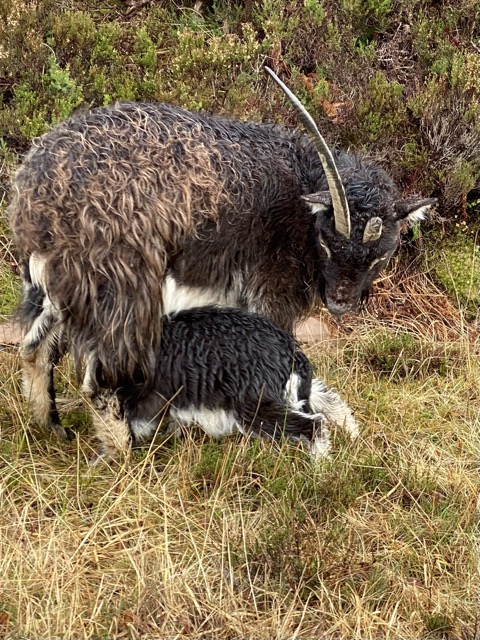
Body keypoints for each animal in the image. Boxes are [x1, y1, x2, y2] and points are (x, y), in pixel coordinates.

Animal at [8, 69, 436, 438]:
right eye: (328, 241)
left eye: (379, 256)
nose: (340, 302)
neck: (301, 194)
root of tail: (36, 192)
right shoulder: (271, 292)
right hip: (121, 290)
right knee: (100, 380)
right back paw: (123, 451)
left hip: (61, 287)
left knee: (34, 349)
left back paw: (51, 428)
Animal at [90, 306, 359, 460]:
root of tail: (289, 352)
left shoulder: (139, 398)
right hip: (287, 392)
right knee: (330, 401)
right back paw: (353, 433)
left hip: (255, 408)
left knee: (314, 425)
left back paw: (320, 468)